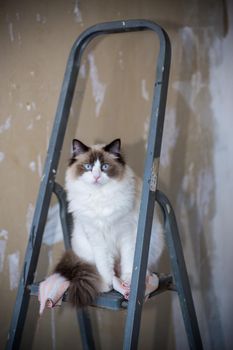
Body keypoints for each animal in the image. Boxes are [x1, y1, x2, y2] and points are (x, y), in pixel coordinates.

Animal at [54, 138, 164, 308]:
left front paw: (128, 280)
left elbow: (129, 261)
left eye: (104, 167)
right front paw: (107, 286)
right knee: (109, 273)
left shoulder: (127, 234)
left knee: (140, 271)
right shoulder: (97, 238)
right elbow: (104, 266)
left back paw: (130, 285)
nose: (96, 176)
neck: (100, 196)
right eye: (88, 167)